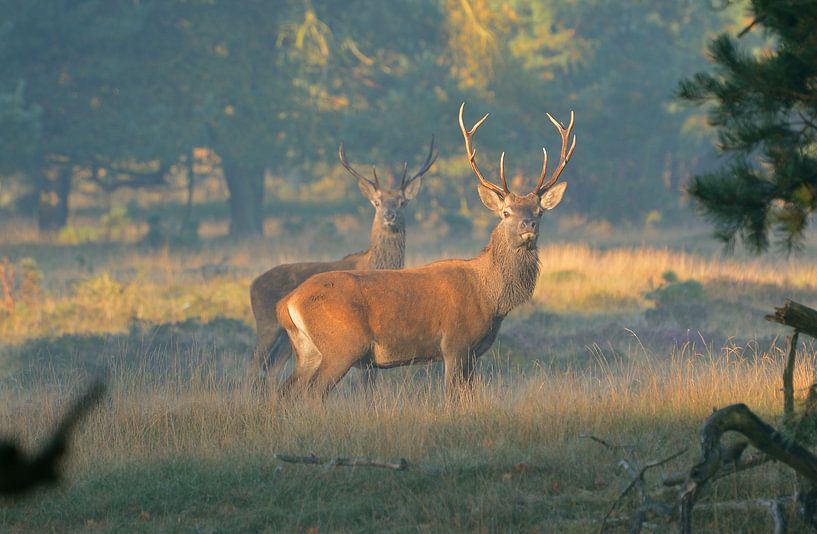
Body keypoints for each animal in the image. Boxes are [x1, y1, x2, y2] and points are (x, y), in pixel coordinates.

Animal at [249, 138, 437, 386]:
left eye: (402, 202)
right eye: (377, 202)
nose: (389, 215)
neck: (376, 263)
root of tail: (252, 285)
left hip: (288, 337)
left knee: (272, 369)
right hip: (266, 324)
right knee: (253, 365)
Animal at [275, 103, 576, 398]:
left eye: (539, 211)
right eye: (506, 212)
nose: (529, 225)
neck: (491, 298)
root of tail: (287, 302)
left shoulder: (474, 353)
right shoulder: (455, 343)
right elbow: (452, 397)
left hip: (307, 351)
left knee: (283, 391)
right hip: (341, 346)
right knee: (311, 393)